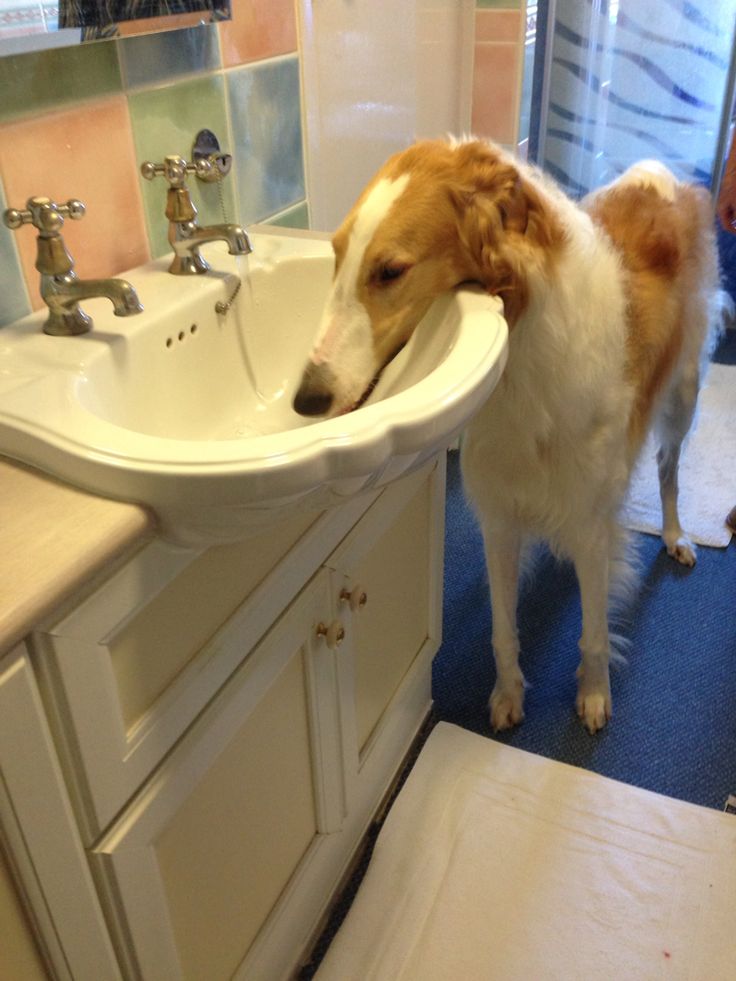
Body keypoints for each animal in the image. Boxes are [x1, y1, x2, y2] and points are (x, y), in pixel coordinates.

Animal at [292, 142, 720, 732]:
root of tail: (659, 177)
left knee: (668, 471)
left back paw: (677, 536)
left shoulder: (590, 527)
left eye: (390, 270)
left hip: (683, 395)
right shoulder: (499, 519)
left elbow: (592, 634)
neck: (522, 362)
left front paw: (593, 696)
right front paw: (508, 697)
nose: (304, 401)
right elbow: (502, 630)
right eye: (335, 255)